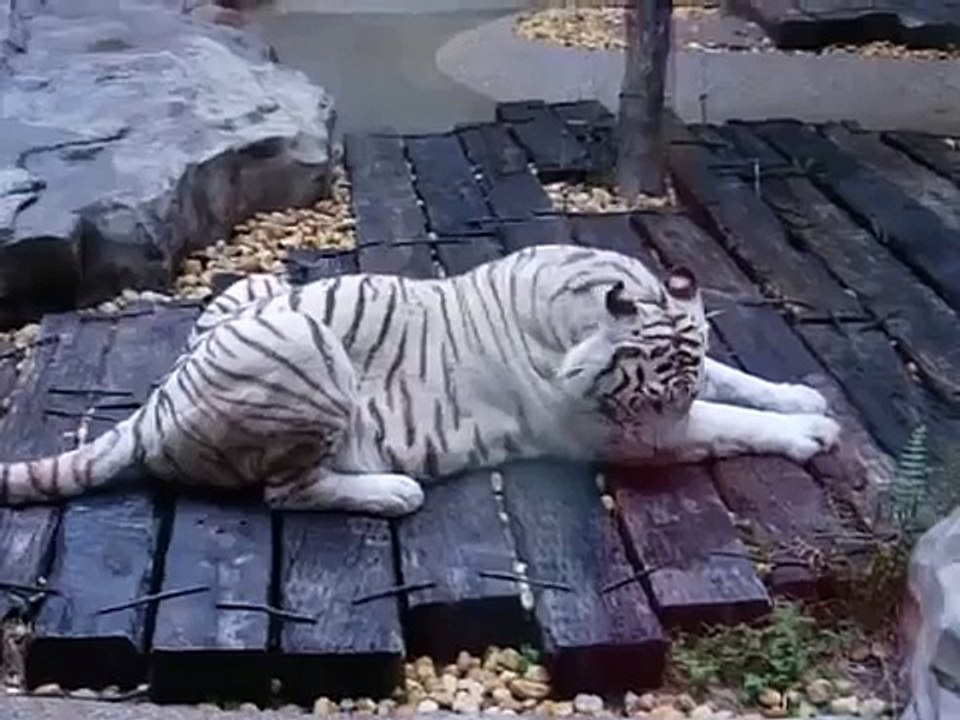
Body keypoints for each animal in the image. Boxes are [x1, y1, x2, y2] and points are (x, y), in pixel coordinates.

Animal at [0, 244, 840, 517]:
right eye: (644, 401)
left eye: (670, 392)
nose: (662, 445)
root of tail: (155, 403)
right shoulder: (611, 433)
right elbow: (729, 425)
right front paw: (810, 431)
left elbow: (734, 381)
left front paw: (799, 395)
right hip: (304, 353)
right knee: (285, 493)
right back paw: (393, 494)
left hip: (258, 289)